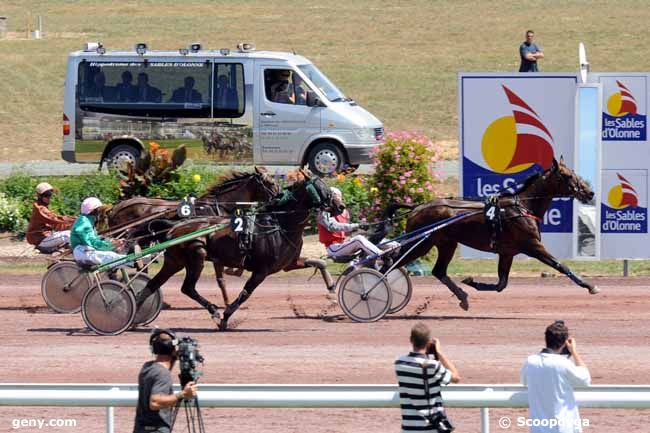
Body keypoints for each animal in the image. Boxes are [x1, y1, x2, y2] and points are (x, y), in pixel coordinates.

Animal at [105, 167, 280, 306]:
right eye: (270, 183)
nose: (280, 196)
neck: (218, 206)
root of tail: (115, 207)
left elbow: (222, 279)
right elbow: (221, 279)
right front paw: (227, 302)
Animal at [137, 170, 340, 330]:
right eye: (321, 188)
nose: (340, 206)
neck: (280, 223)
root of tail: (174, 226)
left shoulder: (289, 264)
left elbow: (320, 263)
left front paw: (332, 291)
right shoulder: (262, 270)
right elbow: (244, 293)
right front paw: (225, 317)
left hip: (175, 262)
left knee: (152, 285)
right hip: (197, 255)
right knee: (187, 288)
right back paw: (214, 312)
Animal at [390, 157, 596, 308]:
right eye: (567, 175)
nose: (590, 192)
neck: (523, 206)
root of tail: (417, 207)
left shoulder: (507, 253)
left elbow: (501, 285)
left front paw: (471, 282)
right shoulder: (533, 246)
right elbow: (560, 265)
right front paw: (590, 286)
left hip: (446, 243)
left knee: (438, 271)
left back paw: (462, 297)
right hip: (421, 244)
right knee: (392, 263)